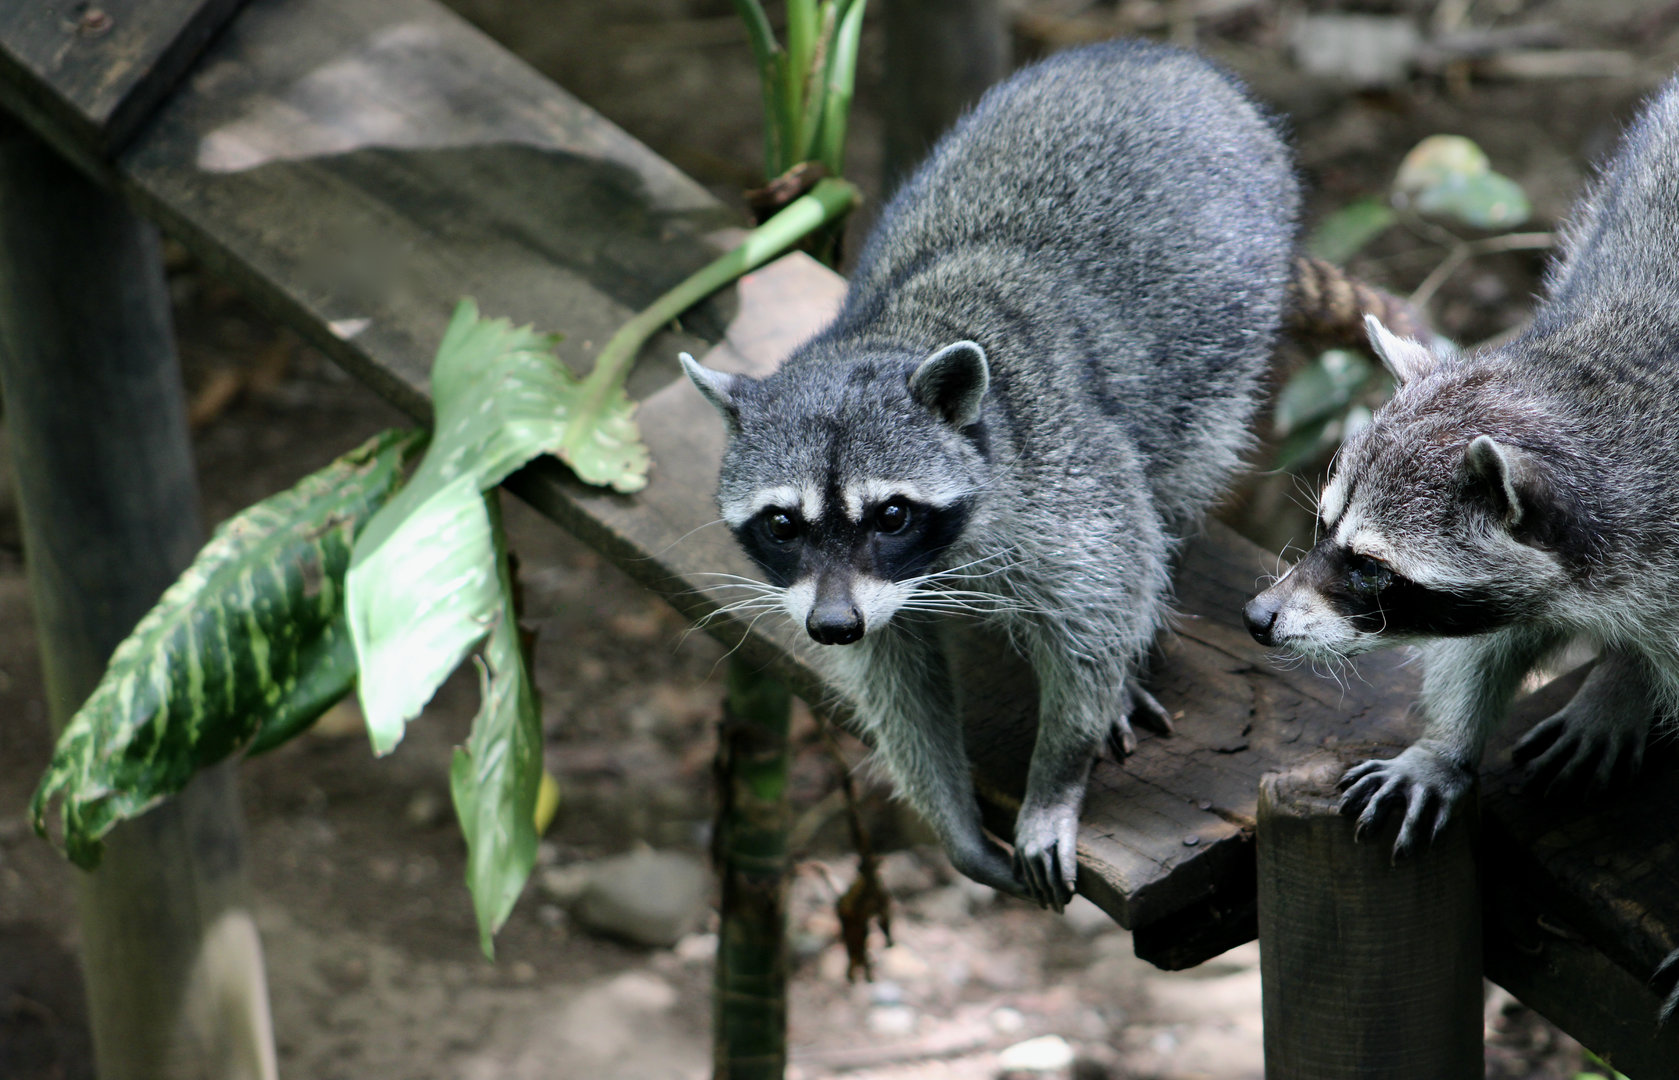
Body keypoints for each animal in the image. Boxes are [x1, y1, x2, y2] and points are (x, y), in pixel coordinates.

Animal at [683, 41, 1299, 909]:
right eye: (781, 524)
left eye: (891, 514)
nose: (831, 626)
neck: (901, 333)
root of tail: (1151, 54)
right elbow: (895, 678)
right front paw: (946, 811)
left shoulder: (1068, 477)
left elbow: (1100, 604)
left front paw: (1058, 772)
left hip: (1227, 341)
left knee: (1173, 493)